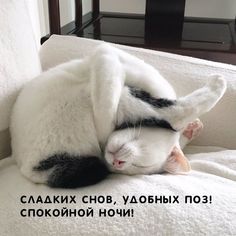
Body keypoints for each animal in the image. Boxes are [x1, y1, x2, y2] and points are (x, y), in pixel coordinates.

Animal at [9, 43, 227, 188]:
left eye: (137, 166)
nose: (117, 164)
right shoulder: (106, 56)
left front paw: (191, 130)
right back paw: (218, 84)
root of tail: (29, 168)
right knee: (174, 112)